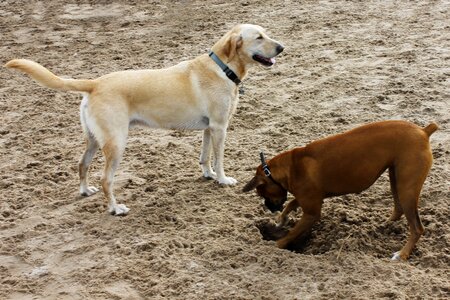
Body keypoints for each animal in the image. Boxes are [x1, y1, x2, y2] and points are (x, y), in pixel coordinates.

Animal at [244, 120, 438, 260]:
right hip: (396, 178)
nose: (268, 208)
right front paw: (281, 219)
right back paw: (386, 224)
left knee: (417, 228)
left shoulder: (311, 213)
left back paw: (402, 254)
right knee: (398, 209)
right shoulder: (308, 198)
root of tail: (423, 131)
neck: (291, 167)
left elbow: (291, 233)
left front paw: (276, 244)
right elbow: (291, 203)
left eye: (261, 193)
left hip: (407, 188)